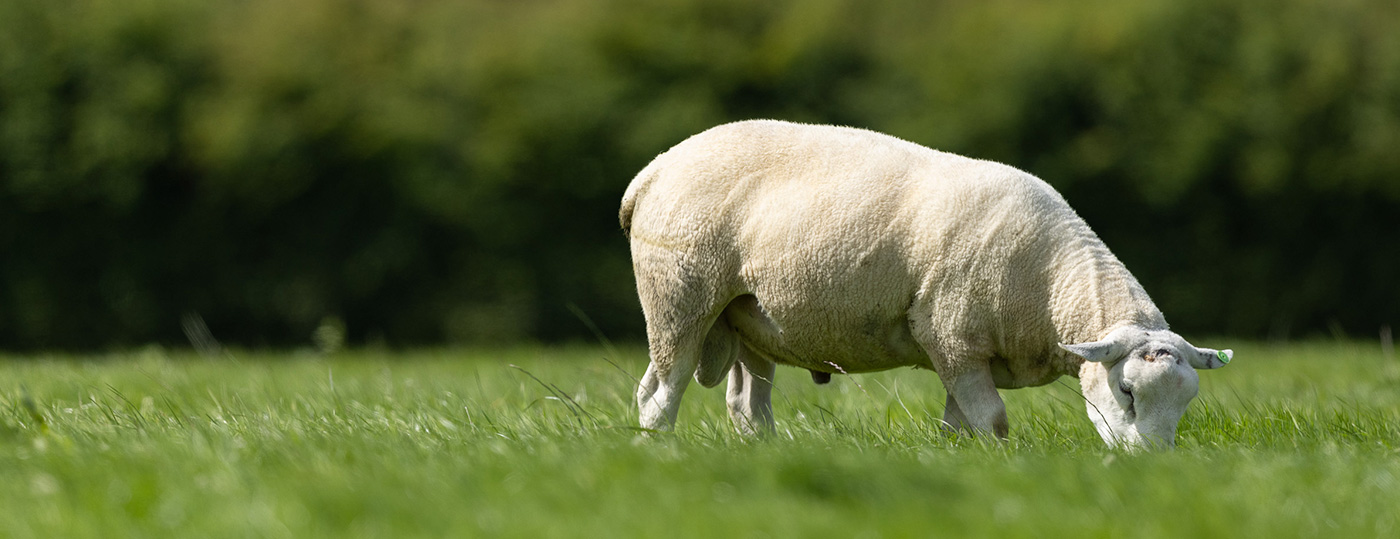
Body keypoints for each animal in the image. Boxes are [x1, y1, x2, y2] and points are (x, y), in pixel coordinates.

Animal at [619, 119, 1232, 448]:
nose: (1148, 465)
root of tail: (653, 170)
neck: (1047, 289)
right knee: (659, 393)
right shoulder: (953, 336)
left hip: (751, 319)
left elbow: (962, 426)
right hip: (678, 297)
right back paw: (659, 451)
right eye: (1126, 391)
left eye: (1186, 403)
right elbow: (994, 422)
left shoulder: (965, 352)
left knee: (747, 405)